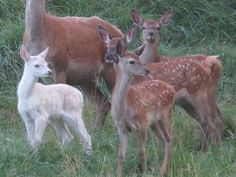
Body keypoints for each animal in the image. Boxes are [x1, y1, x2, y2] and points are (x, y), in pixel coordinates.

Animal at [23, 0, 124, 130]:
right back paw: (95, 130)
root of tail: (119, 32)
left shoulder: (61, 64)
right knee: (104, 103)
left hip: (112, 67)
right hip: (85, 79)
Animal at [97, 24, 175, 177]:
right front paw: (118, 173)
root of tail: (171, 88)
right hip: (155, 122)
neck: (124, 108)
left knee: (169, 138)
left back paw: (163, 169)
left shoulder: (142, 122)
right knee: (163, 139)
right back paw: (163, 167)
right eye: (131, 61)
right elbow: (121, 155)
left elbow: (142, 153)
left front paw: (143, 171)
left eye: (139, 59)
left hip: (164, 114)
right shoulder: (121, 126)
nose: (147, 70)